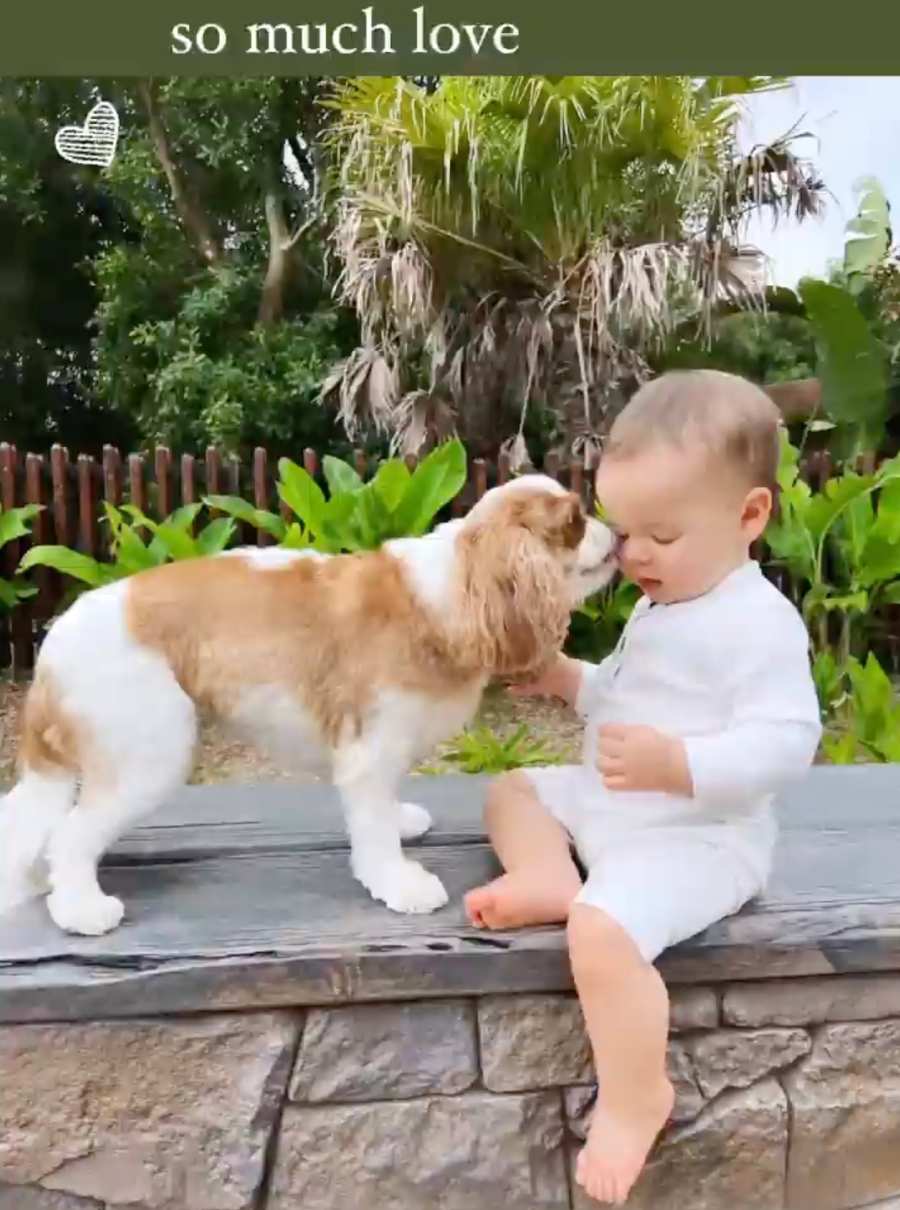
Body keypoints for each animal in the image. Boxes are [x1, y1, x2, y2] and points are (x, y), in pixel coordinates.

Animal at [0, 471, 619, 934]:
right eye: (574, 522)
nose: (613, 532)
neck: (456, 593)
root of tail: (52, 645)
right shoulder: (369, 747)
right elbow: (373, 829)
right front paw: (399, 882)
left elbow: (384, 805)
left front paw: (400, 820)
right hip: (149, 752)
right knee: (69, 836)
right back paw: (81, 910)